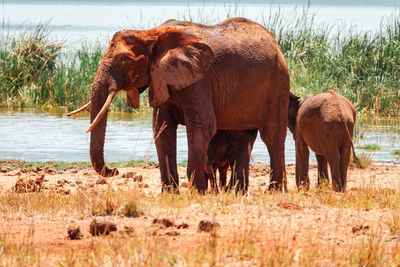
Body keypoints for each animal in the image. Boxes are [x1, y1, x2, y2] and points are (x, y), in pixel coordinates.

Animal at [67, 18, 290, 193]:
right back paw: (238, 192)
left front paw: (197, 191)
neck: (151, 34)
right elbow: (162, 127)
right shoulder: (160, 77)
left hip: (278, 83)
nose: (114, 170)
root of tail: (275, 42)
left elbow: (202, 125)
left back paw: (274, 191)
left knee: (273, 136)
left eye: (124, 60)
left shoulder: (200, 78)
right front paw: (170, 193)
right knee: (245, 137)